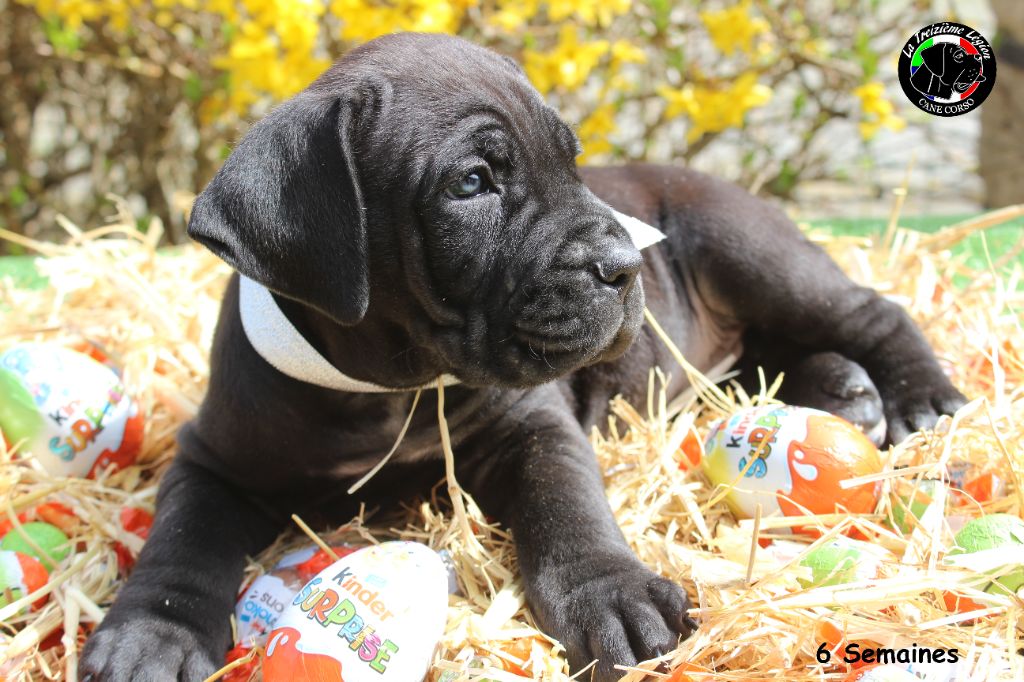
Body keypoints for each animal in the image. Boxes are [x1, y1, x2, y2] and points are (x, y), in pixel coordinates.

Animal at [81, 33, 966, 679]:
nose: (624, 263)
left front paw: (612, 594)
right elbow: (183, 538)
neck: (389, 384)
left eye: (572, 162)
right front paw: (151, 635)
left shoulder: (536, 429)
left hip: (752, 252)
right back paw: (844, 391)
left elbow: (565, 505)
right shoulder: (212, 458)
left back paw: (916, 397)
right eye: (472, 182)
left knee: (869, 311)